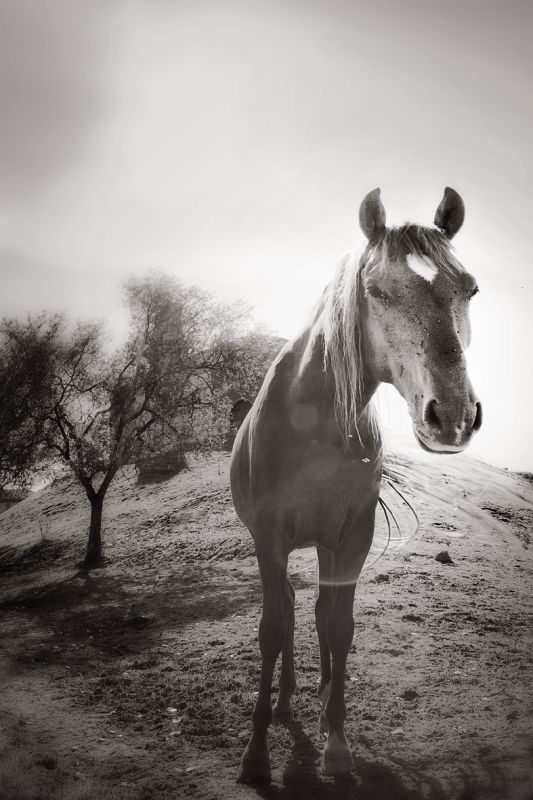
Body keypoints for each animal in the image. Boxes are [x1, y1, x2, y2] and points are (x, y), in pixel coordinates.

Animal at [231, 188, 480, 780]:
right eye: (377, 291)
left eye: (470, 289)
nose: (452, 417)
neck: (314, 421)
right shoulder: (269, 538)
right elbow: (271, 629)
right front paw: (255, 754)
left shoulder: (353, 536)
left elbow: (339, 628)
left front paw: (338, 745)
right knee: (289, 612)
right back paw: (284, 704)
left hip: (326, 543)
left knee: (320, 613)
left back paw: (319, 703)